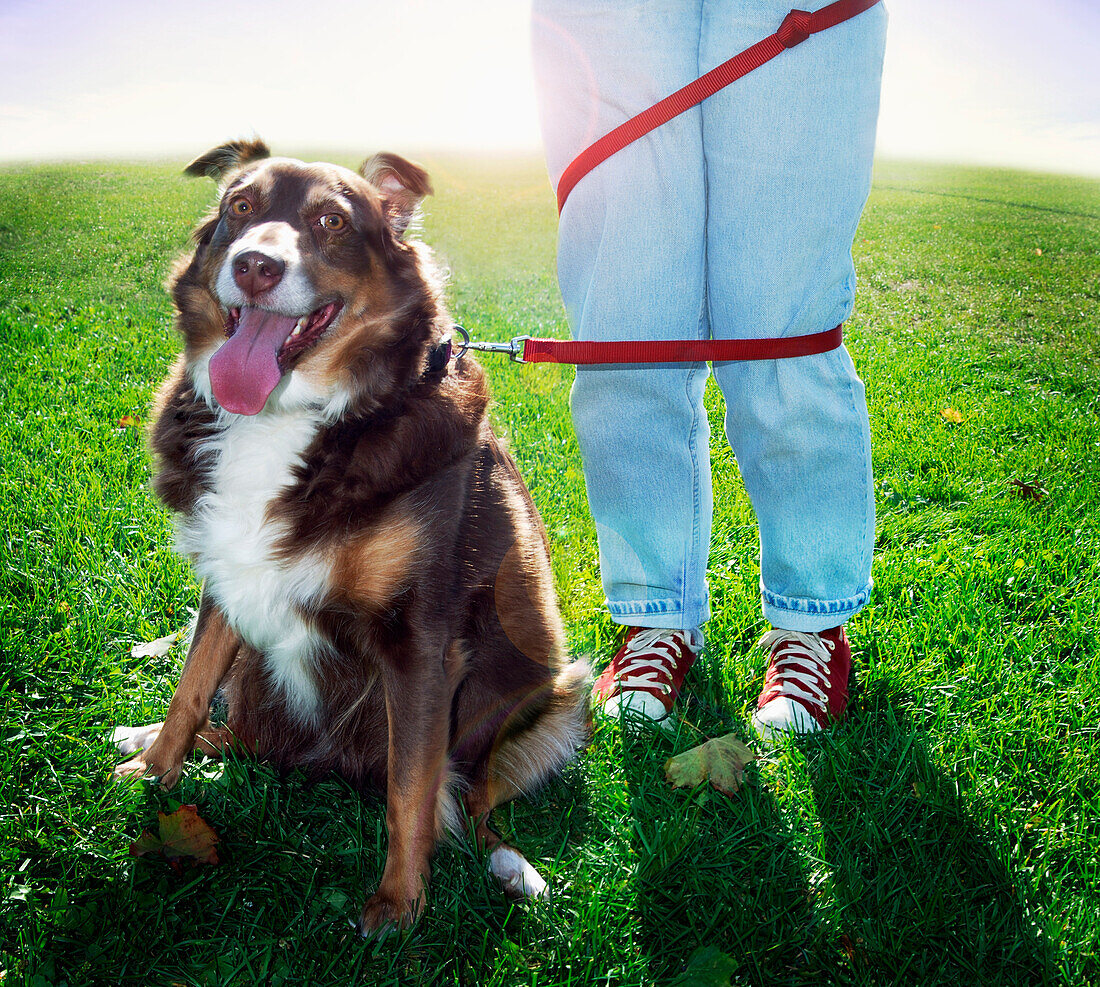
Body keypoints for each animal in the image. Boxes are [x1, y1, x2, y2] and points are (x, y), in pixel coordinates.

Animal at [111, 138, 589, 933]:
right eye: (240, 205)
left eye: (332, 221)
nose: (255, 265)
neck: (291, 417)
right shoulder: (228, 578)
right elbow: (189, 687)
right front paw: (155, 769)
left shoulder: (419, 639)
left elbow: (410, 787)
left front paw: (398, 904)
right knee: (240, 727)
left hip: (555, 693)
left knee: (474, 797)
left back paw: (508, 863)